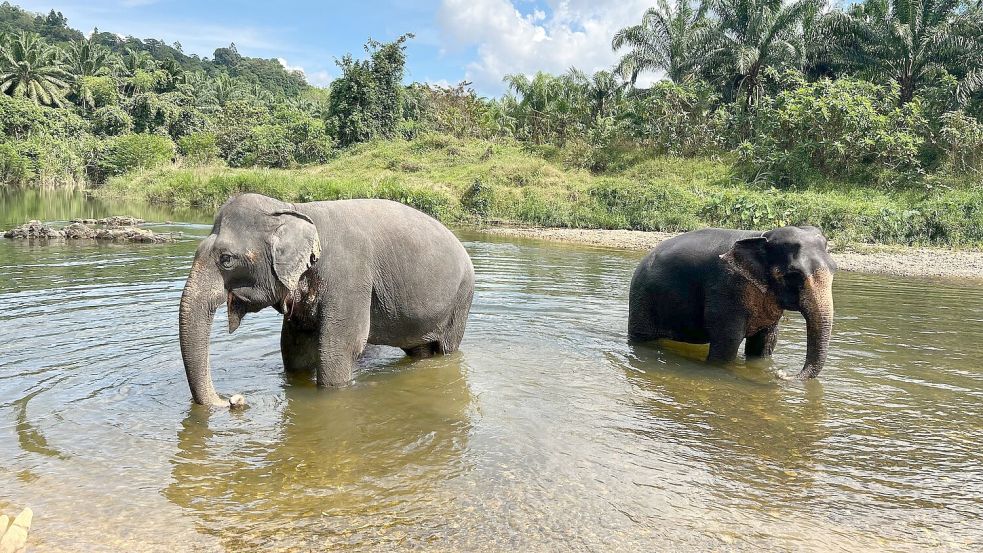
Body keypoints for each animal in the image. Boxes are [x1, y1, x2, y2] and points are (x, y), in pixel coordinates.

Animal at [178, 193, 476, 406]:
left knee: (446, 349)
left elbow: (340, 348)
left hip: (460, 302)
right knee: (420, 351)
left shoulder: (349, 278)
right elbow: (294, 347)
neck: (293, 209)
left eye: (226, 259)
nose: (233, 400)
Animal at [632, 226, 836, 378]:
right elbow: (728, 341)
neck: (762, 236)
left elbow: (765, 342)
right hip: (642, 299)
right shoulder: (726, 288)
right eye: (793, 275)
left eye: (835, 268)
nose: (781, 374)